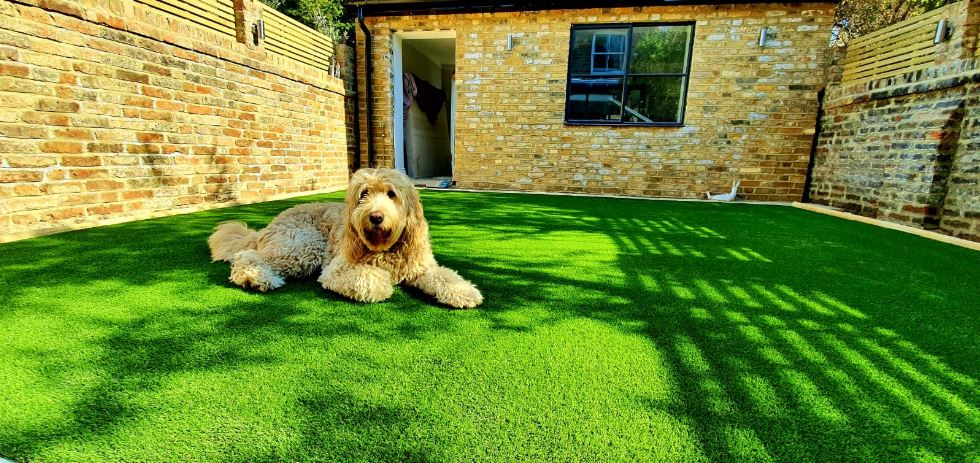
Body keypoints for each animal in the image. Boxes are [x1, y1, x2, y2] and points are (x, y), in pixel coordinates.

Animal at [207, 169, 482, 310]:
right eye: (364, 194)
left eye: (391, 194)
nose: (376, 216)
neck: (386, 248)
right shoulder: (338, 268)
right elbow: (373, 279)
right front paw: (384, 283)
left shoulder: (420, 266)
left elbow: (444, 276)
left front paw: (464, 292)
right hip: (304, 244)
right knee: (248, 256)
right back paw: (255, 278)